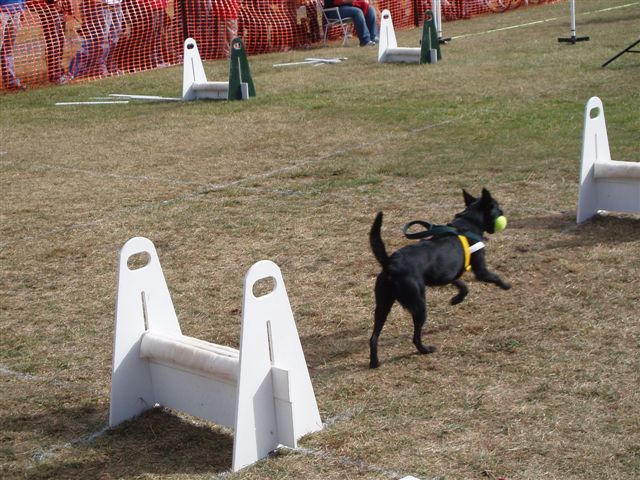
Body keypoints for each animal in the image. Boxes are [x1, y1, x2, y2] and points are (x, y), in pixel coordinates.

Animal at [370, 188, 510, 368]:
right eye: (497, 207)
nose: (503, 212)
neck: (468, 222)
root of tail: (390, 264)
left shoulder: (448, 273)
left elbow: (463, 285)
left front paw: (456, 299)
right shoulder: (481, 271)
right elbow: (494, 277)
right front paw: (506, 285)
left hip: (382, 305)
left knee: (374, 337)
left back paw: (374, 362)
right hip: (419, 305)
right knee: (415, 337)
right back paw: (425, 350)